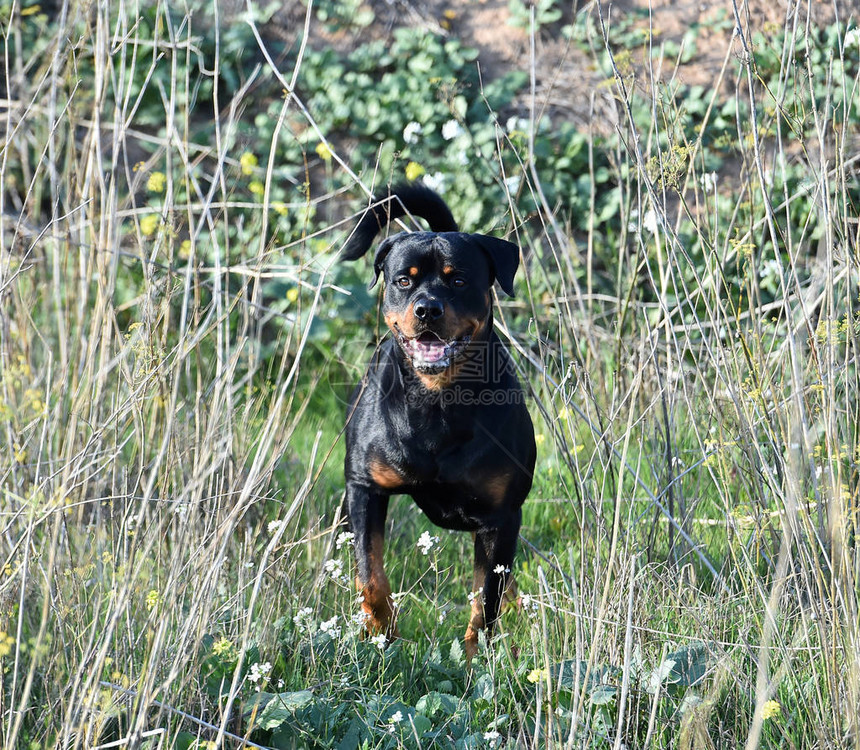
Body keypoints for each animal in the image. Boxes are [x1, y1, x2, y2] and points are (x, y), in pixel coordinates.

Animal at [340, 184, 536, 656]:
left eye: (459, 280)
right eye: (403, 280)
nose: (427, 309)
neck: (437, 401)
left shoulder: (501, 516)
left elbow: (485, 600)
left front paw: (473, 660)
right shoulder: (364, 487)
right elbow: (370, 575)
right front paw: (382, 636)